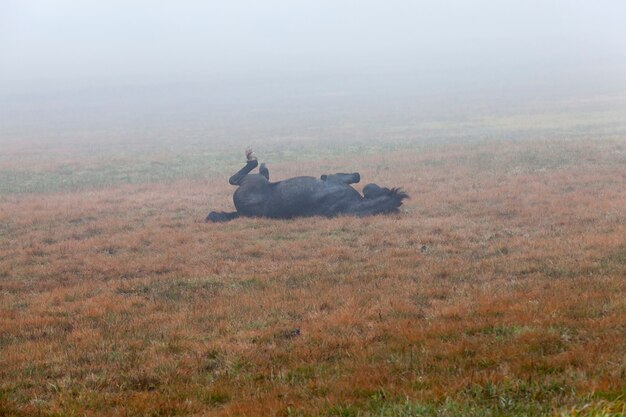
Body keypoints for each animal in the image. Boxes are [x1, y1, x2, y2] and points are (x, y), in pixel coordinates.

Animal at [207, 152, 408, 223]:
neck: (352, 205)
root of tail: (241, 211)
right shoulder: (337, 179)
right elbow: (357, 176)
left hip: (252, 181)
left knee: (237, 178)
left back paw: (260, 165)